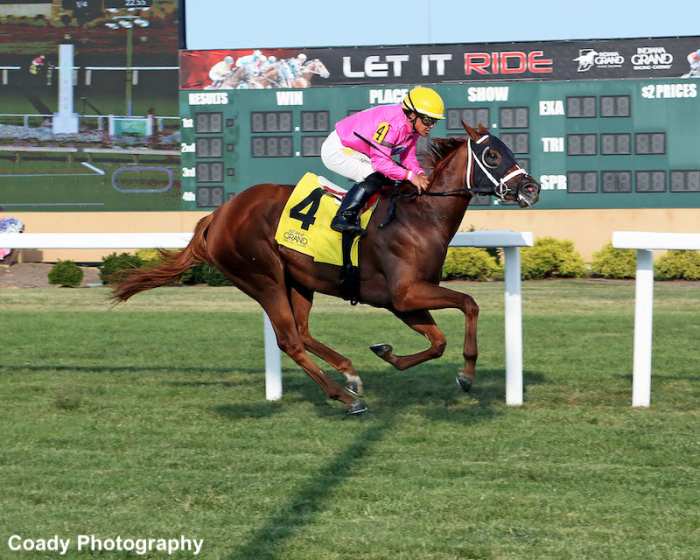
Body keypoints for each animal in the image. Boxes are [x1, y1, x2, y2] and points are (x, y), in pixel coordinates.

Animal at [112, 124, 540, 415]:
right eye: (492, 156)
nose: (531, 188)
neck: (421, 215)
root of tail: (216, 216)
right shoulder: (405, 293)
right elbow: (468, 303)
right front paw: (466, 374)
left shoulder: (402, 301)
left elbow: (437, 342)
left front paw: (387, 353)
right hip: (263, 277)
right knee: (289, 340)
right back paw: (343, 397)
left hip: (300, 281)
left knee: (302, 332)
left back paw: (350, 375)